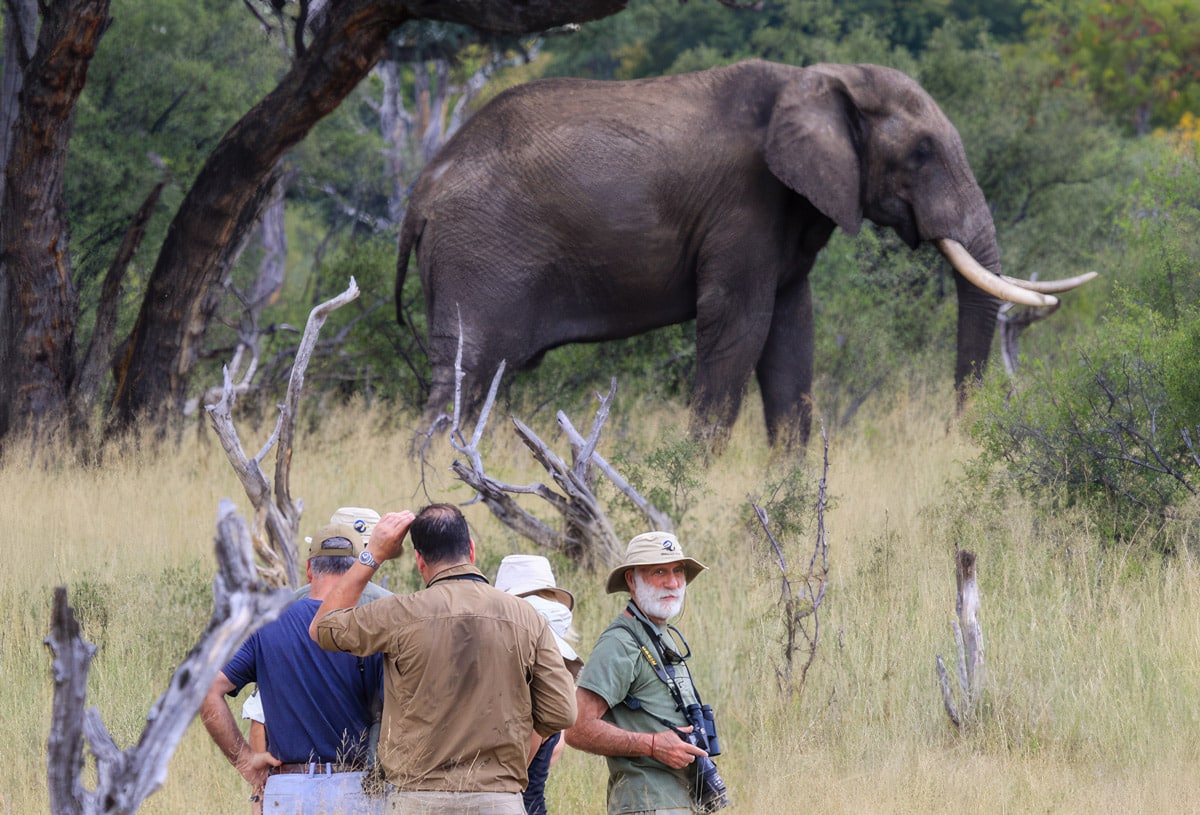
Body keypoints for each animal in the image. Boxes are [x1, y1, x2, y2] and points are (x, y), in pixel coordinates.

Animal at [398, 59, 1094, 448]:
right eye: (922, 152)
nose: (955, 437)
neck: (817, 81)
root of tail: (421, 190)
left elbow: (790, 340)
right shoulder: (745, 204)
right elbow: (739, 326)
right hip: (481, 257)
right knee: (464, 380)